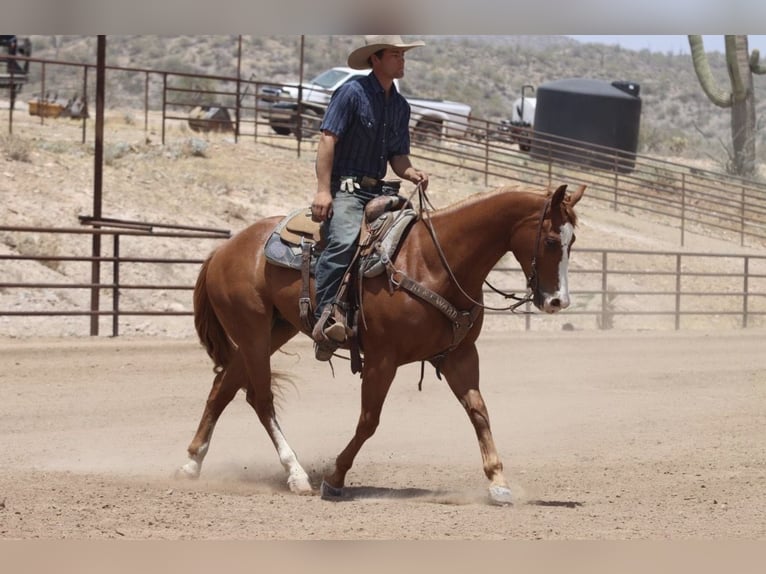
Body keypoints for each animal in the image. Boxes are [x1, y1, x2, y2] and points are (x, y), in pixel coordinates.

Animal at [177, 183, 585, 505]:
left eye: (573, 241)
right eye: (552, 240)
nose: (558, 302)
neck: (435, 261)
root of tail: (223, 250)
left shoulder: (460, 355)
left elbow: (479, 412)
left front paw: (498, 482)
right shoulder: (381, 359)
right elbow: (369, 421)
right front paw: (335, 478)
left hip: (273, 331)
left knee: (223, 388)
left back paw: (192, 462)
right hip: (253, 332)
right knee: (260, 399)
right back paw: (296, 474)